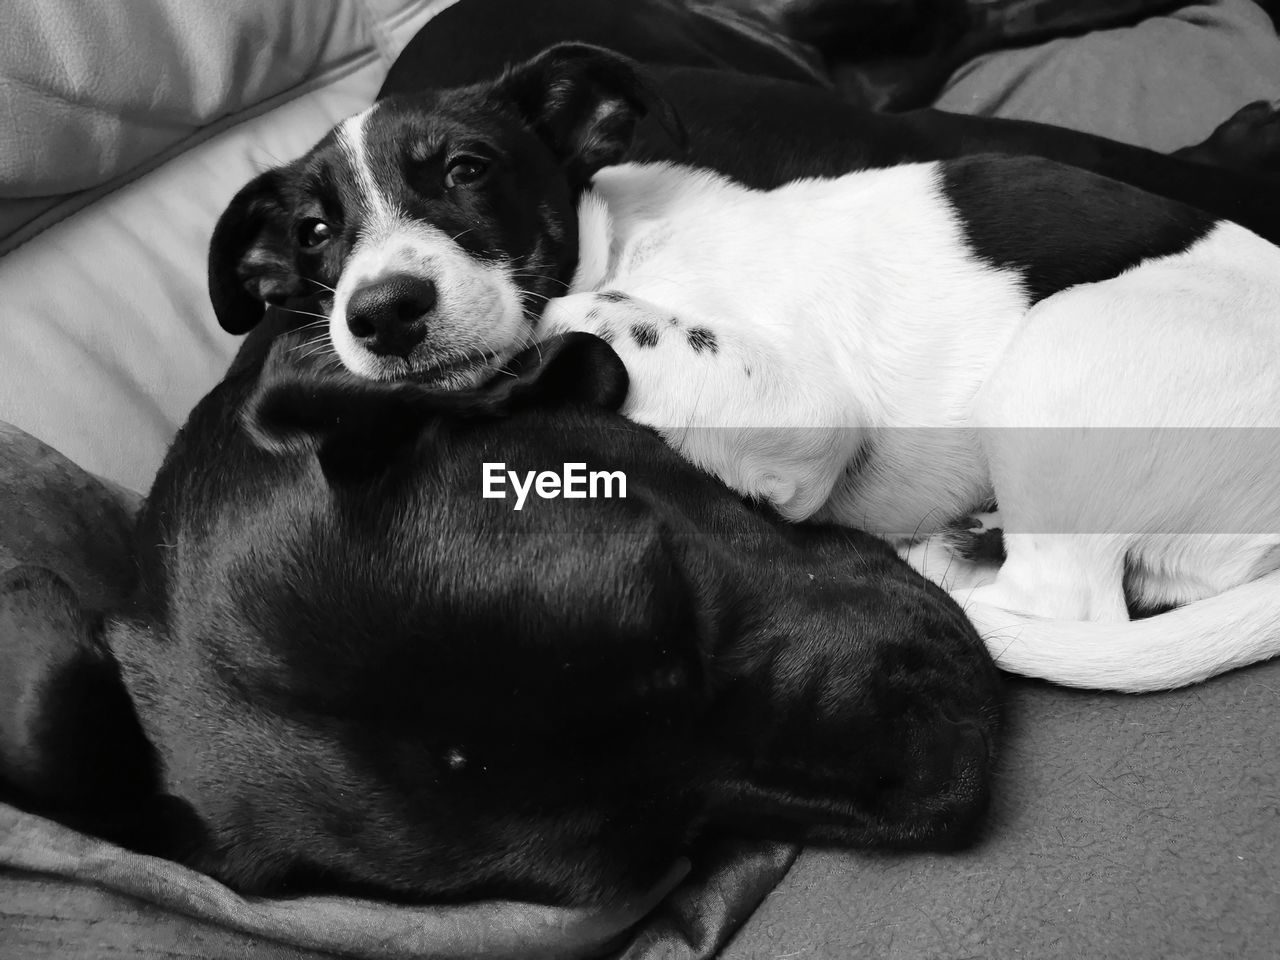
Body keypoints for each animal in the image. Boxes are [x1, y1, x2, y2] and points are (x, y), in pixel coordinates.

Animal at [209, 45, 1280, 696]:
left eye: (467, 170)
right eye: (313, 233)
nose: (378, 315)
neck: (623, 243)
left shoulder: (806, 406)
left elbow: (565, 316)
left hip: (1054, 361)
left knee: (1066, 606)